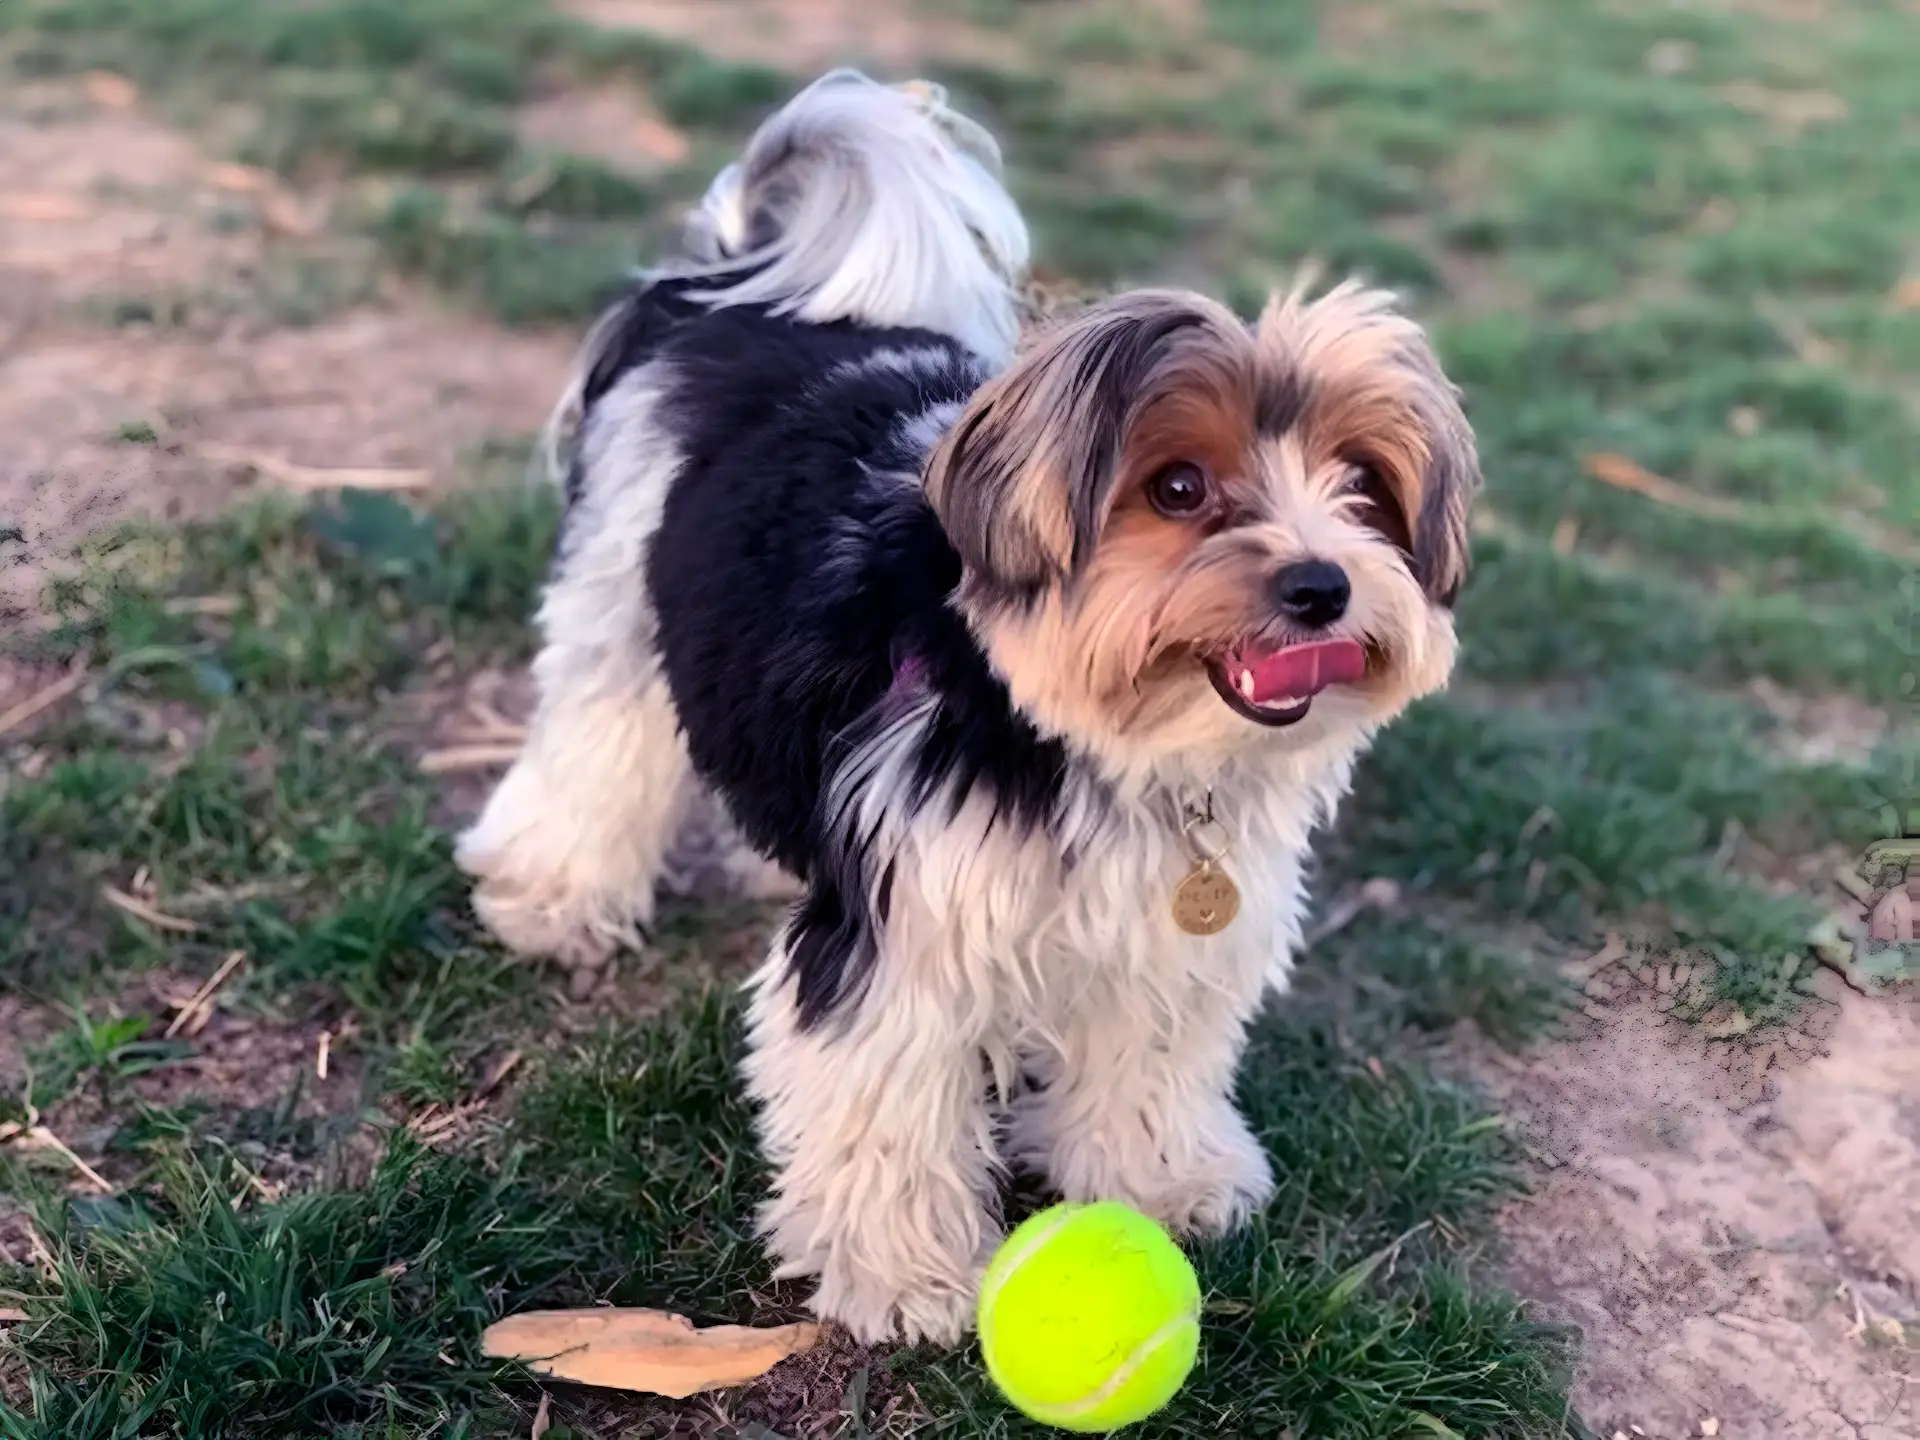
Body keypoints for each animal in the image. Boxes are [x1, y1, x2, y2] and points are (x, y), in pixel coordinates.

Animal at [464, 73, 1482, 1351]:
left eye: (1362, 487)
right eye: (1179, 486)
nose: (1321, 585)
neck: (1097, 744)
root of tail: (729, 286)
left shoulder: (1171, 933)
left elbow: (1151, 1056)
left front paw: (1165, 1182)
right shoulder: (904, 931)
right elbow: (885, 1104)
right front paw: (902, 1276)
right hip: (621, 586)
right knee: (599, 738)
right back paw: (553, 892)